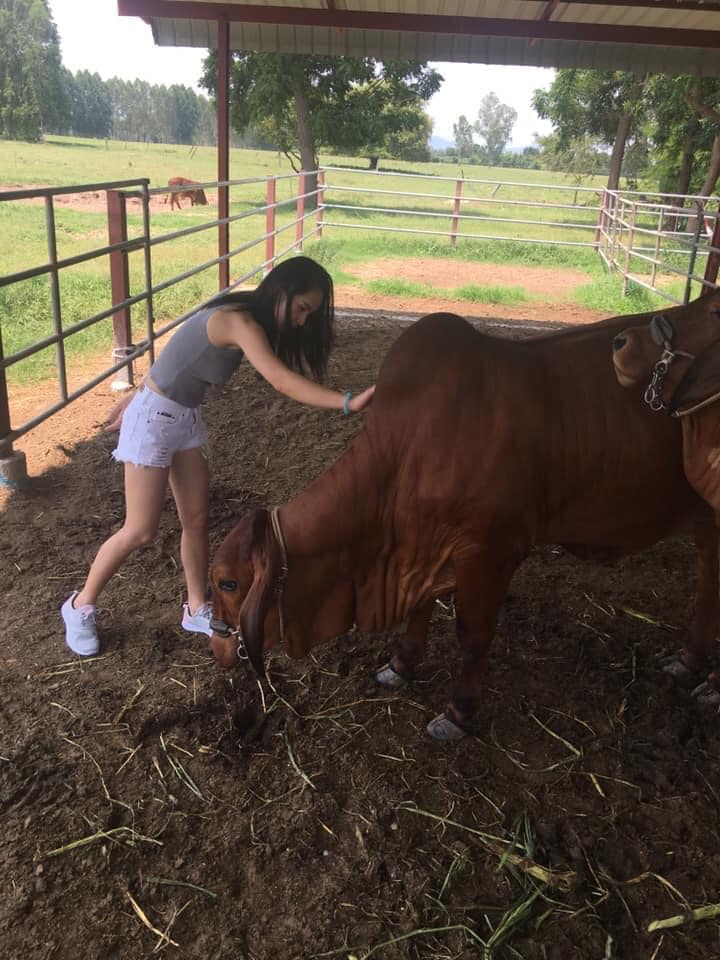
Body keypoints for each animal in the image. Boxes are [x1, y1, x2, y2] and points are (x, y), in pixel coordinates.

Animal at [209, 305, 720, 740]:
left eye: (228, 583)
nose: (217, 648)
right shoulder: (422, 547)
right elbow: (420, 610)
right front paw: (401, 665)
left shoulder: (492, 550)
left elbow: (472, 635)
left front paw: (457, 712)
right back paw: (690, 664)